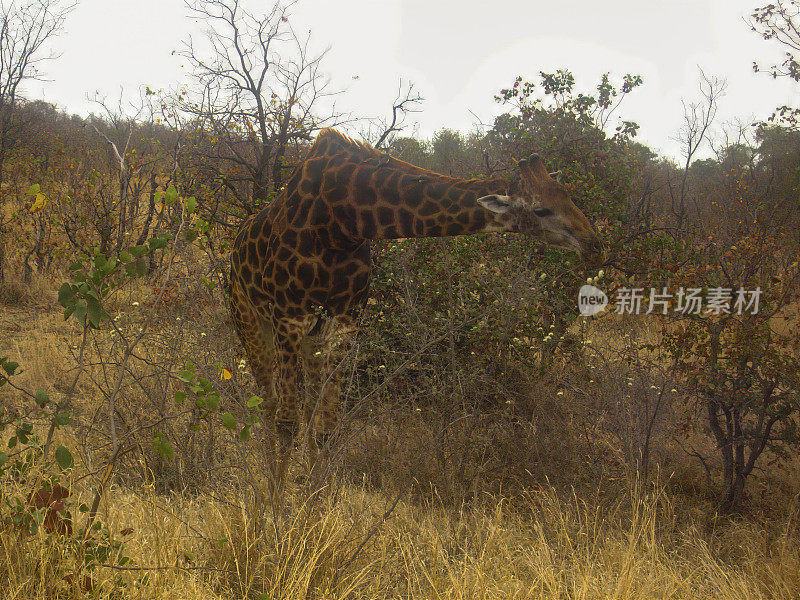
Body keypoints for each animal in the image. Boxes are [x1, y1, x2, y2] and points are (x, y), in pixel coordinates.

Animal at [231, 129, 608, 442]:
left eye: (569, 197)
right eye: (542, 210)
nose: (595, 245)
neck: (344, 219)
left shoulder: (345, 318)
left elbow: (326, 424)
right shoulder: (289, 317)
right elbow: (286, 424)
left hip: (311, 335)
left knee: (306, 408)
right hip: (252, 321)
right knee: (269, 404)